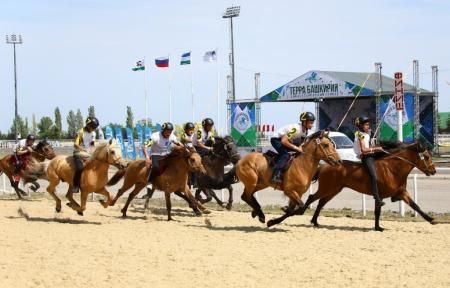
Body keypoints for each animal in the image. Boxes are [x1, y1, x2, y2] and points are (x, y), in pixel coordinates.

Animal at [298, 142, 436, 232]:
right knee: (312, 197)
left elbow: (415, 206)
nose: (433, 171)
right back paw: (302, 213)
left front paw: (431, 219)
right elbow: (377, 211)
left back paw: (315, 222)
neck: (392, 169)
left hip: (333, 190)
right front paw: (377, 227)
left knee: (321, 202)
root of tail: (324, 165)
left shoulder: (401, 192)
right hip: (327, 188)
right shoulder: (381, 195)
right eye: (427, 156)